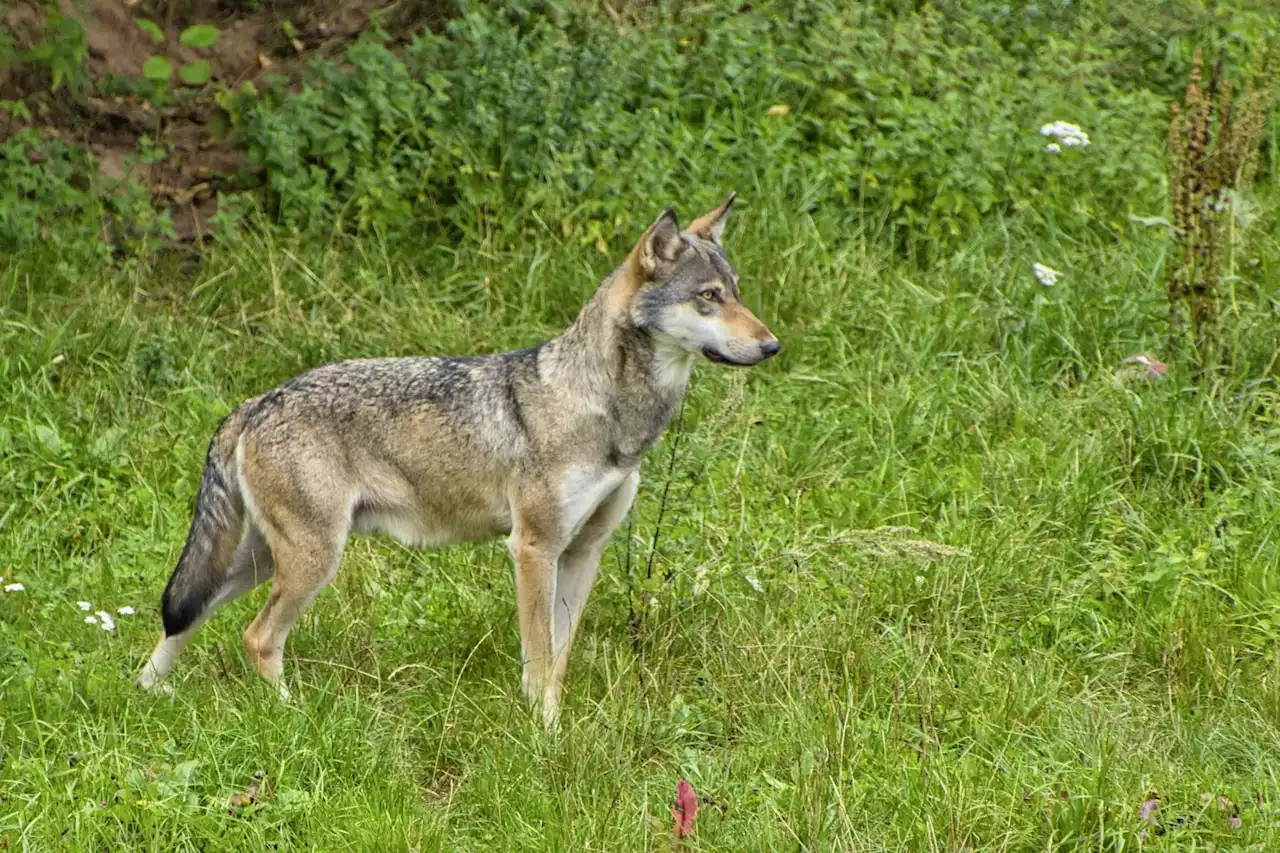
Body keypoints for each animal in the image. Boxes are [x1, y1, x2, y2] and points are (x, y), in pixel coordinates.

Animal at [140, 194, 778, 722]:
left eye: (737, 291)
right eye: (709, 297)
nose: (773, 345)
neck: (605, 410)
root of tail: (254, 403)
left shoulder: (583, 553)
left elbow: (559, 658)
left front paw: (558, 726)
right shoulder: (533, 549)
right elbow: (539, 656)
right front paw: (543, 735)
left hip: (261, 562)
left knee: (182, 616)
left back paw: (148, 695)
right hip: (310, 562)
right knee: (256, 637)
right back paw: (291, 715)